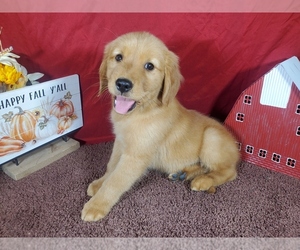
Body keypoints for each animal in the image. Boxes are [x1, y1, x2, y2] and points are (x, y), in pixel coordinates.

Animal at [81, 31, 240, 221]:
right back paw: (183, 173)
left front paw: (96, 205)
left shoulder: (135, 156)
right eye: (118, 57)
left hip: (212, 137)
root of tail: (237, 146)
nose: (123, 84)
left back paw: (204, 180)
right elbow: (111, 166)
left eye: (149, 66)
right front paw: (99, 183)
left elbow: (116, 180)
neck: (140, 112)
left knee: (229, 172)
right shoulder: (120, 142)